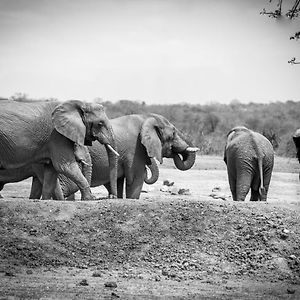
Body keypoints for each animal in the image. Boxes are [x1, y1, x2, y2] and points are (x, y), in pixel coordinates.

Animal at [25, 112, 199, 199]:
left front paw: (117, 197)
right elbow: (135, 179)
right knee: (66, 186)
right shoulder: (134, 150)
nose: (178, 152)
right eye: (174, 133)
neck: (146, 118)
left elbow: (120, 181)